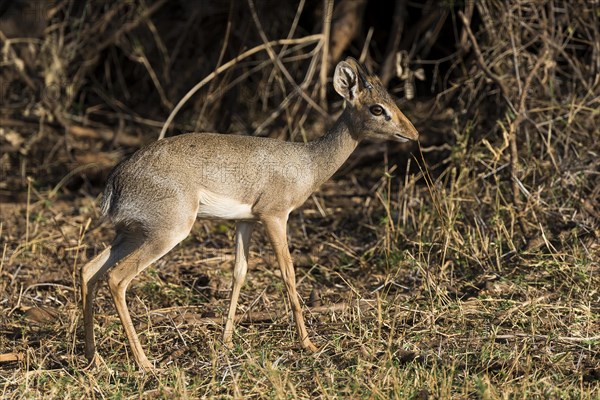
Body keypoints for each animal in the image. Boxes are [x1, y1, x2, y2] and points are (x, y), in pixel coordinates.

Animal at [81, 56, 418, 368]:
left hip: (131, 233)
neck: (308, 164)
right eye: (377, 108)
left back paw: (93, 358)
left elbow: (239, 273)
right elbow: (288, 273)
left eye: (393, 101)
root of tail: (115, 182)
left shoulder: (245, 221)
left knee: (89, 269)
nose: (412, 133)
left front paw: (227, 341)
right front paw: (308, 344)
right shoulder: (275, 215)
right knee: (116, 278)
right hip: (166, 233)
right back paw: (144, 363)